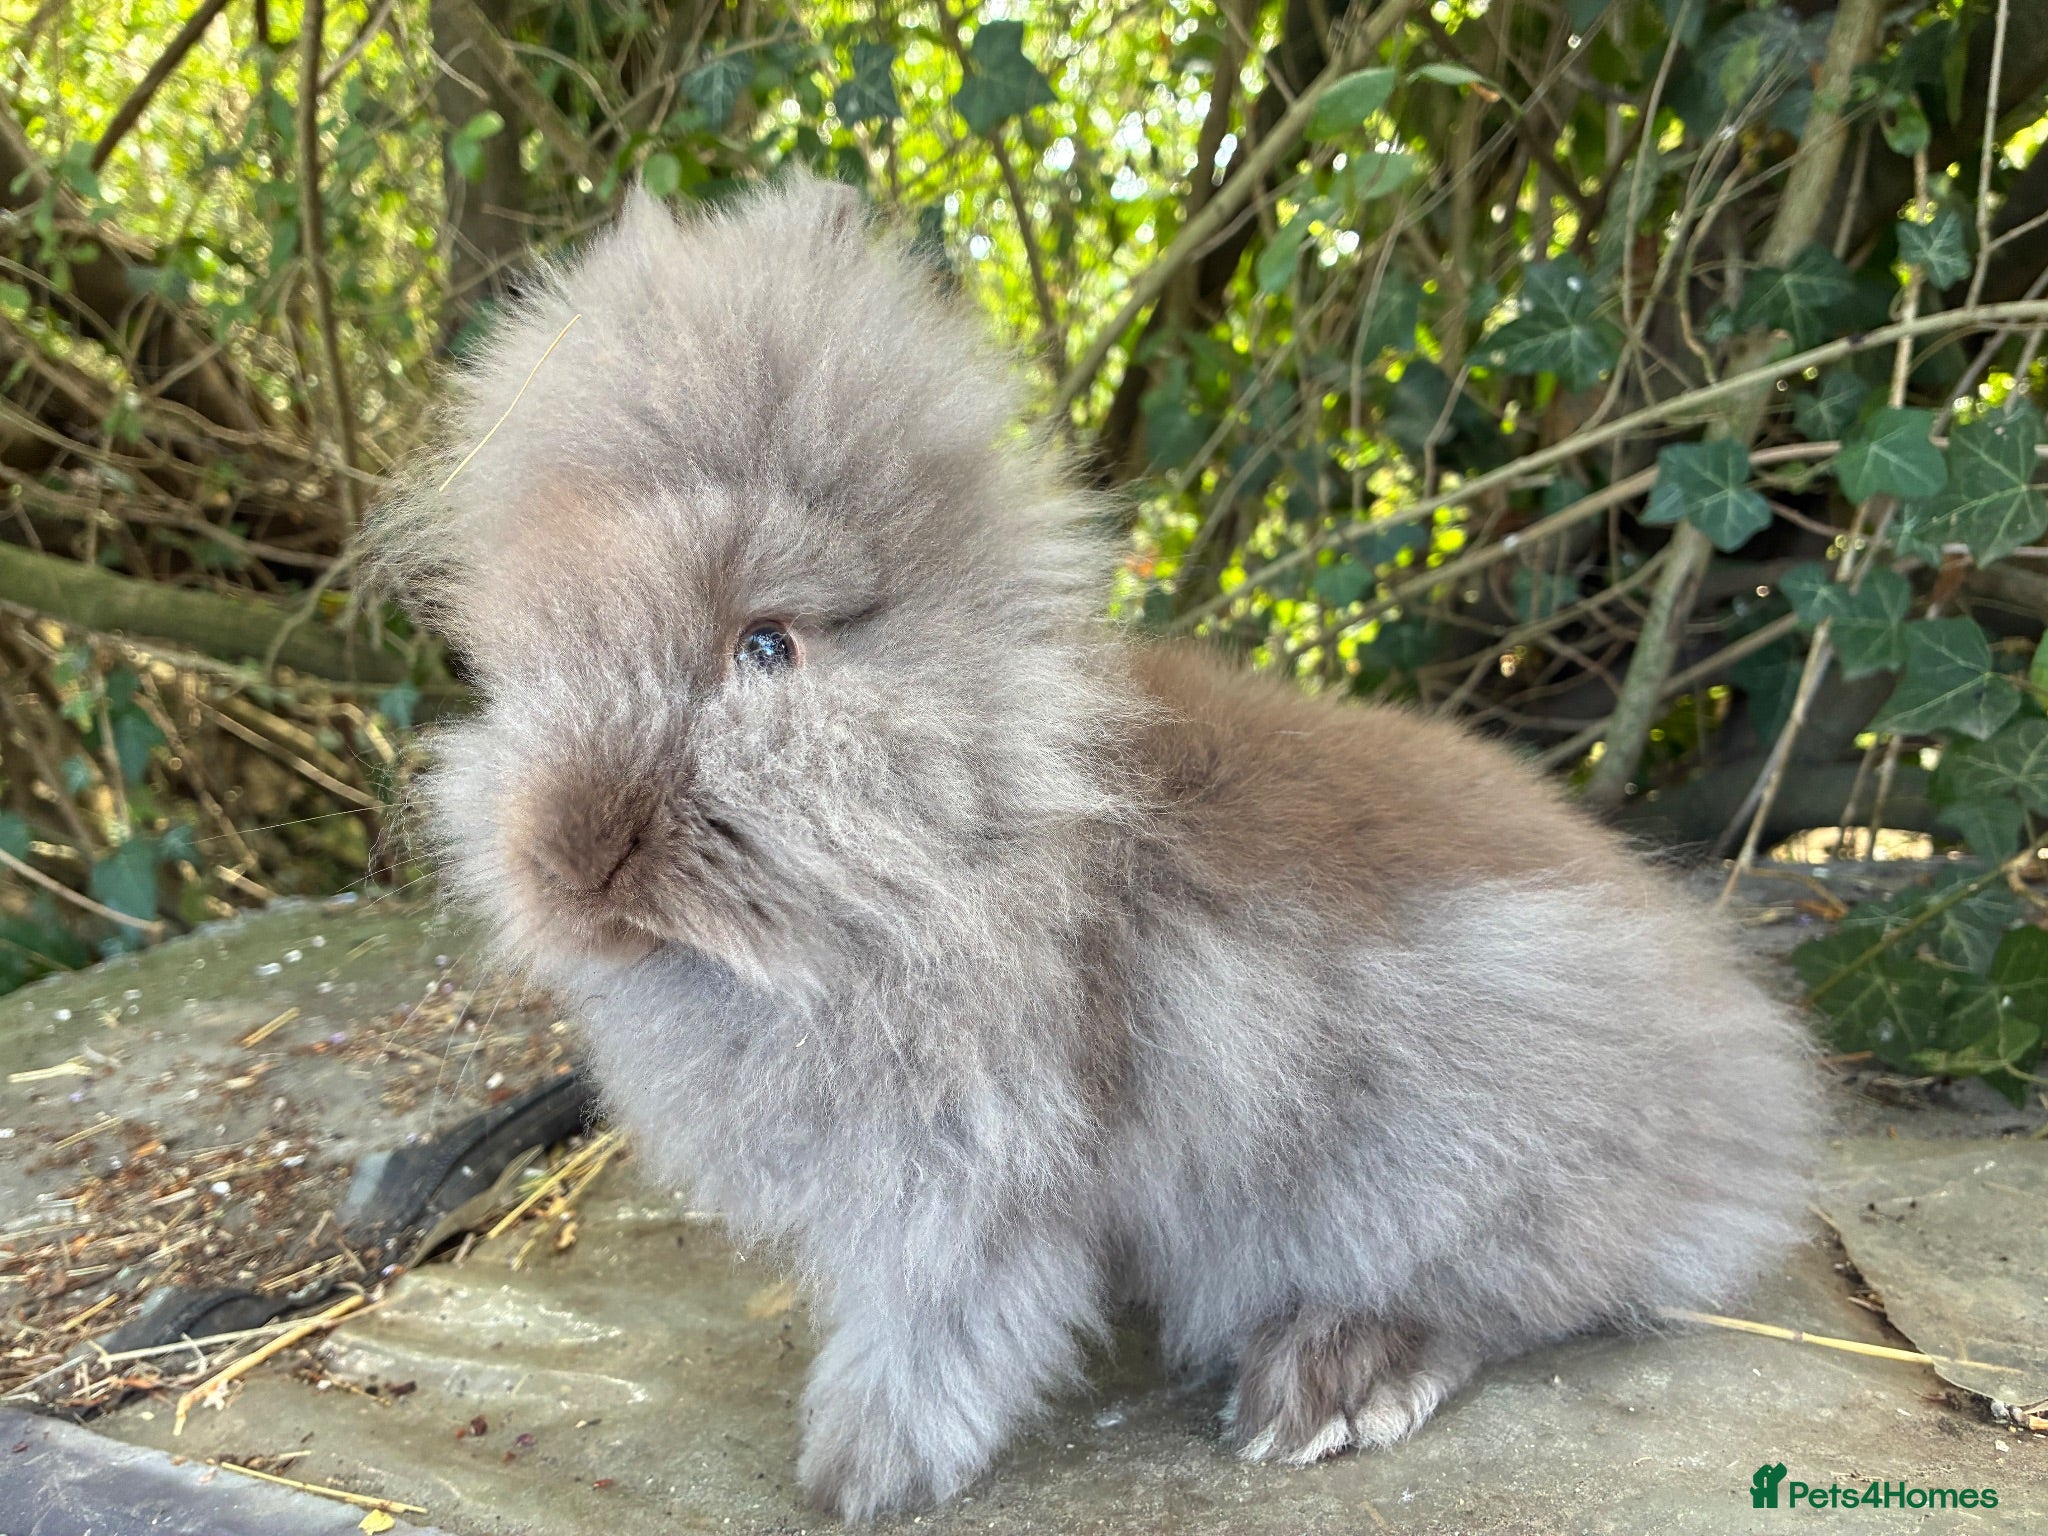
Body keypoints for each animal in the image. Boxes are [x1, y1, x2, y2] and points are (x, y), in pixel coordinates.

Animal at [371, 175, 1819, 1522]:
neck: (988, 809)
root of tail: (1748, 1098)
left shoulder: (965, 1173)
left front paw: (856, 1474)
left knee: (1516, 1292)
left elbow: (937, 1326)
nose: (571, 861)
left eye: (766, 645)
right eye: (518, 659)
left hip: (1442, 1156)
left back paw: (1326, 1385)